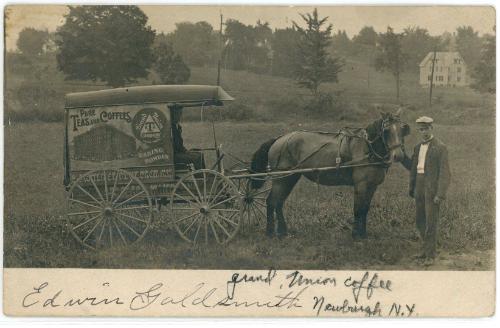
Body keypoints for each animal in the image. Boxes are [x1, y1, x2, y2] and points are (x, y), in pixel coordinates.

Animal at [250, 109, 410, 238]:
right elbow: (358, 209)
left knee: (278, 202)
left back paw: (282, 231)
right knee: (271, 202)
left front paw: (363, 234)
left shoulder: (371, 185)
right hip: (281, 178)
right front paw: (356, 234)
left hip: (290, 177)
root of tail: (279, 139)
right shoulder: (361, 185)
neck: (368, 148)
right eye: (386, 131)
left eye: (403, 129)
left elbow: (365, 209)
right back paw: (270, 232)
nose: (398, 156)